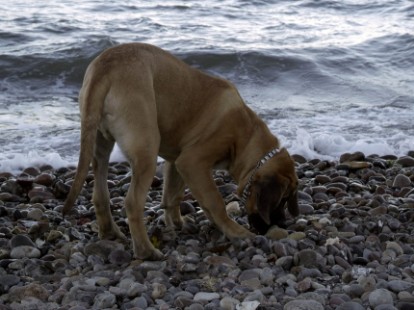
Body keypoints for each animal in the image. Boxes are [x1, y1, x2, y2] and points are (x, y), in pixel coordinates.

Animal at [63, 42, 300, 260]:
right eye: (282, 199)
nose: (282, 225)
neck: (246, 134)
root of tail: (105, 67)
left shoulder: (177, 161)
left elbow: (173, 194)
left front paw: (176, 222)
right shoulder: (192, 162)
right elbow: (215, 201)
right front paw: (234, 231)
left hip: (100, 144)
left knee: (100, 193)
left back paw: (109, 233)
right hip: (146, 150)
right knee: (132, 203)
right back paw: (146, 251)